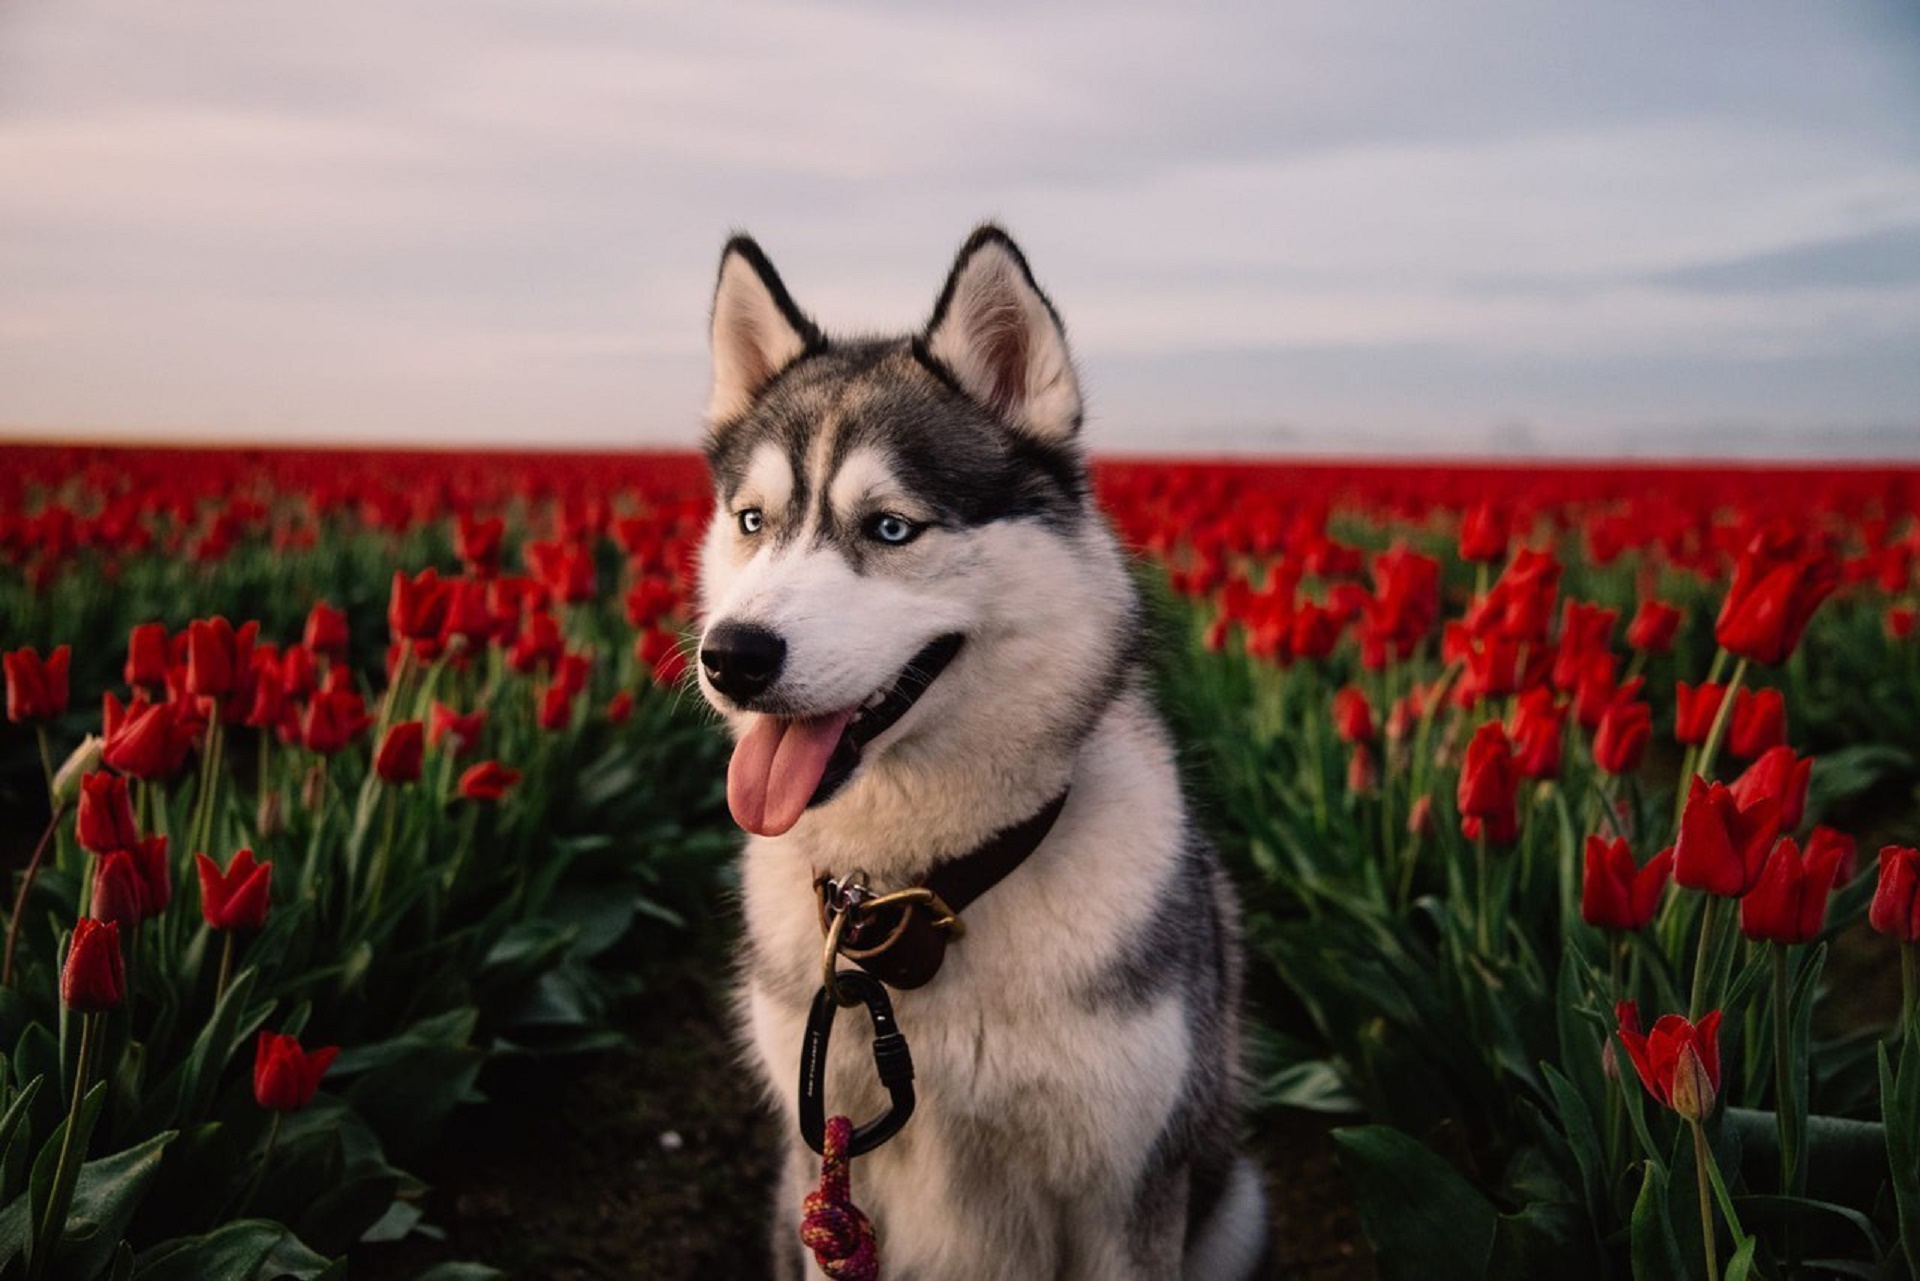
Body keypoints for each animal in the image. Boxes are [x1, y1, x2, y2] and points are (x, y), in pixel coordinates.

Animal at [698, 225, 1267, 1275]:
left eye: (890, 527)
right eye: (755, 522)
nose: (731, 656)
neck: (921, 893)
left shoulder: (1125, 1191)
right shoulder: (825, 1177)